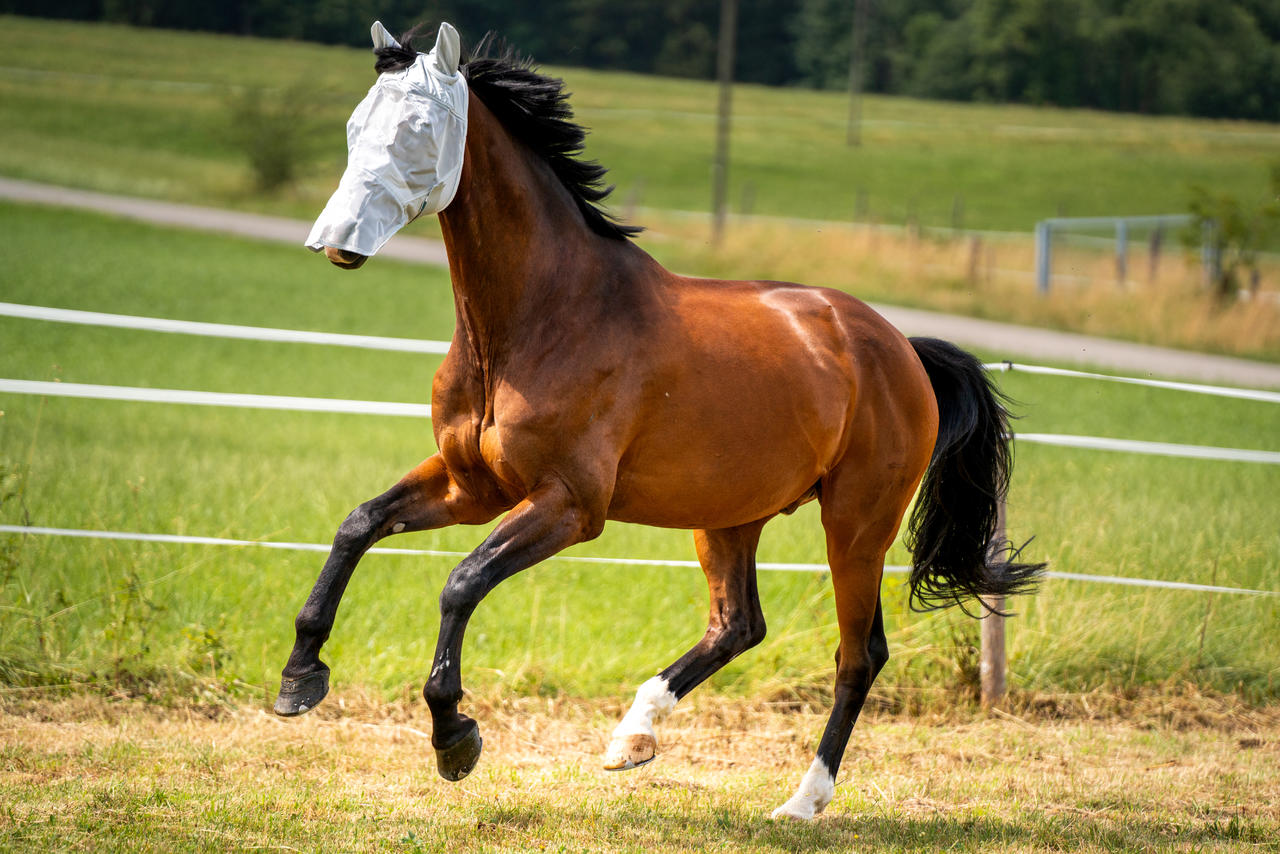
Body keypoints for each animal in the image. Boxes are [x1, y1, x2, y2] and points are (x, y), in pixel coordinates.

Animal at [277, 21, 1039, 819]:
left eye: (419, 128)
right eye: (356, 123)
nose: (334, 240)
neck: (542, 317)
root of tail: (901, 349)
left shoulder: (570, 506)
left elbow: (461, 582)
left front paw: (454, 736)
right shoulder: (470, 485)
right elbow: (358, 524)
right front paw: (300, 679)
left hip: (857, 526)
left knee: (859, 656)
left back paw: (802, 802)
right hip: (731, 515)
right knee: (738, 625)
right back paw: (631, 739)